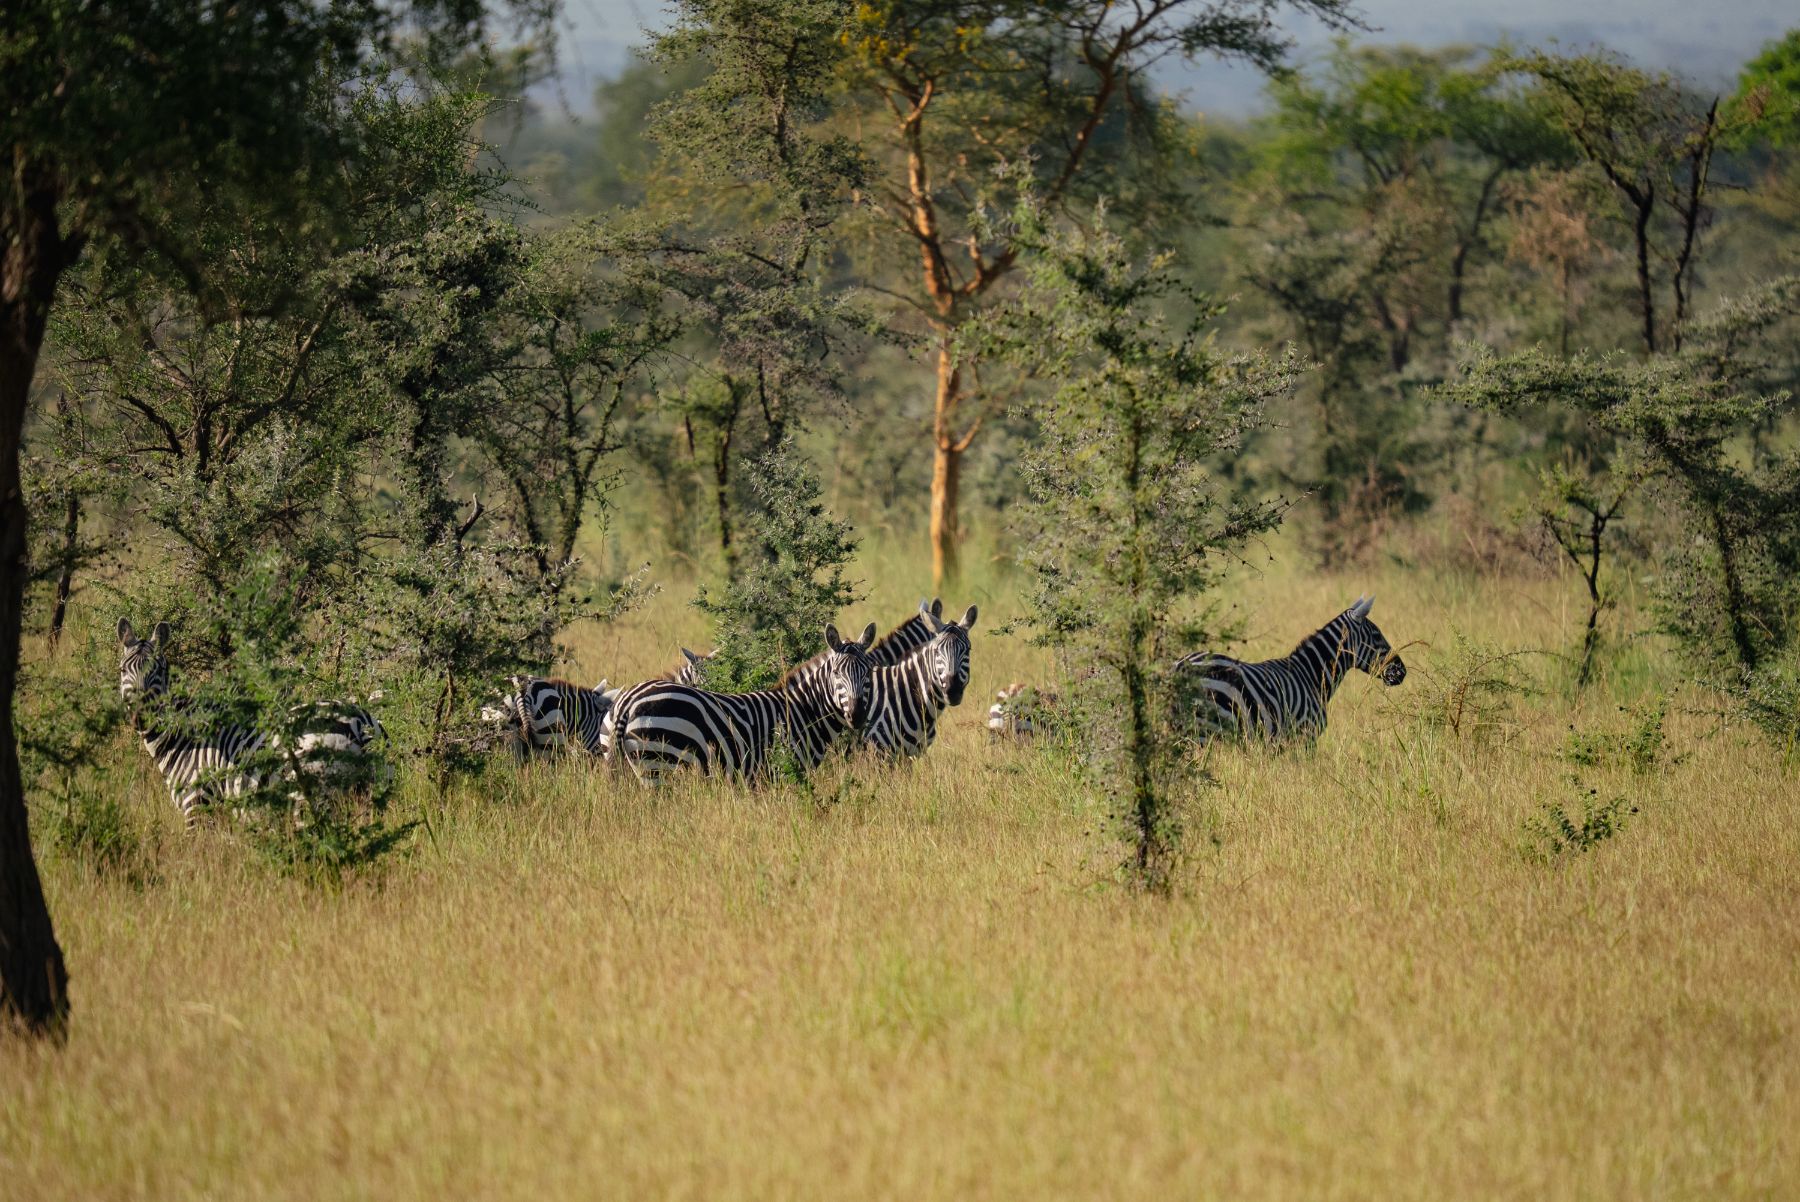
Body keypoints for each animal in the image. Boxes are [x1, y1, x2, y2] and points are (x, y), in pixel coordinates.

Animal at [116, 618, 387, 824]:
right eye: (122, 670)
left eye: (159, 670)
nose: (139, 717)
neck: (184, 740)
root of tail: (358, 721)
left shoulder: (196, 804)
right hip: (367, 793)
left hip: (317, 795)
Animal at [603, 622, 879, 782]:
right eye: (837, 673)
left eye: (867, 672)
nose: (857, 715)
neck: (803, 712)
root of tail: (628, 700)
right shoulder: (783, 773)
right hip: (658, 764)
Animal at [1174, 596, 1406, 745]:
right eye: (1376, 635)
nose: (1402, 672)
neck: (1311, 676)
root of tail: (1182, 666)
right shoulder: (1305, 736)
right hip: (1203, 731)